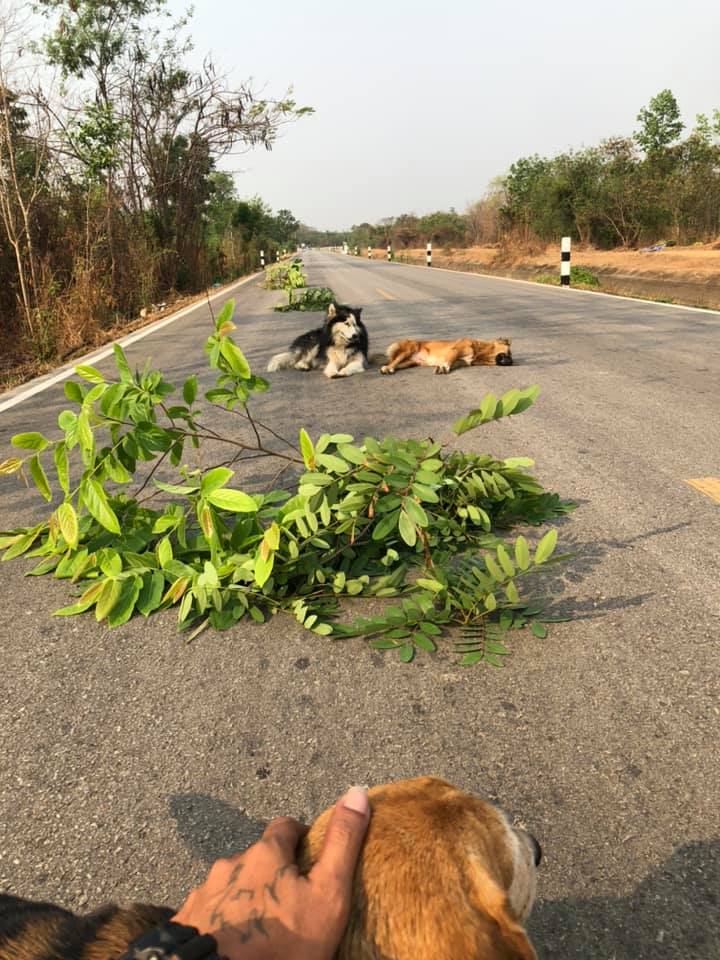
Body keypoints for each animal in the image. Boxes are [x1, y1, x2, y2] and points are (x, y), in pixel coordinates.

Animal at [380, 338, 516, 376]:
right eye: (508, 353)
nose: (512, 361)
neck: (480, 352)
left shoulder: (460, 361)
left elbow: (452, 362)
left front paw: (441, 367)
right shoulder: (454, 351)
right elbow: (448, 361)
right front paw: (444, 368)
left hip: (410, 362)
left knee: (397, 364)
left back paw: (389, 368)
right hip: (410, 348)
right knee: (394, 361)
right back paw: (387, 368)